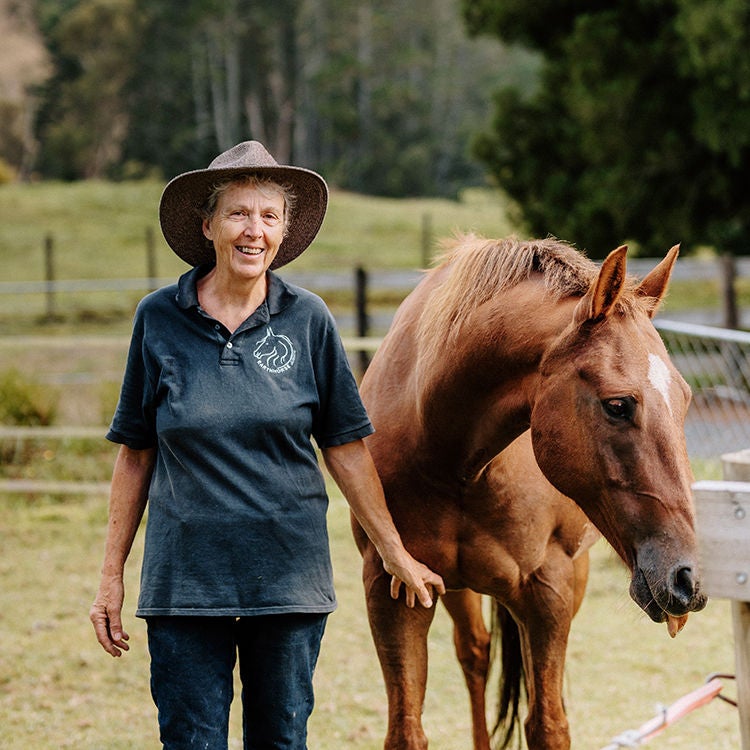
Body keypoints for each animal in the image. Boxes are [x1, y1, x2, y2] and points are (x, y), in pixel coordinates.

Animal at [352, 236, 707, 750]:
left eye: (685, 399)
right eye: (618, 405)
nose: (688, 579)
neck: (454, 458)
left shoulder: (547, 593)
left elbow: (548, 725)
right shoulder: (392, 588)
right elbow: (406, 729)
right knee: (474, 654)